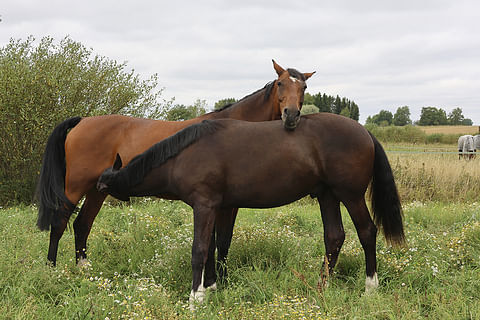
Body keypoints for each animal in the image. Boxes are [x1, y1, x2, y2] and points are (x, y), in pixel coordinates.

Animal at [36, 59, 316, 264]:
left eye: (303, 88)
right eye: (280, 83)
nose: (291, 115)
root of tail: (83, 120)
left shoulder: (230, 203)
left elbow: (224, 241)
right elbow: (218, 241)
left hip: (98, 189)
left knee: (82, 225)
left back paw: (84, 268)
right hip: (75, 185)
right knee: (60, 223)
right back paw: (53, 270)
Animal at [96, 114, 404, 308]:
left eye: (102, 187)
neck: (185, 154)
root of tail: (365, 132)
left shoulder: (204, 205)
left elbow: (199, 250)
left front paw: (195, 299)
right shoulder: (218, 207)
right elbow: (213, 248)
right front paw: (211, 288)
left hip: (350, 196)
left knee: (367, 232)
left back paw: (370, 287)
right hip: (328, 195)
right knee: (334, 237)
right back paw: (321, 287)